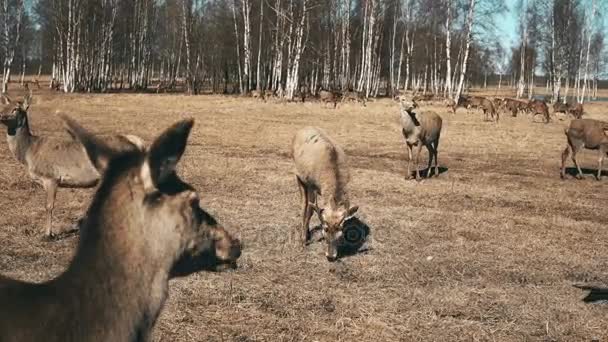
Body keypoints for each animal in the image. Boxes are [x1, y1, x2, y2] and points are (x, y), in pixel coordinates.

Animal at [0, 93, 145, 238]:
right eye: (3, 106)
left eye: (16, 109)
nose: (2, 116)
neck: (29, 152)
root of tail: (138, 143)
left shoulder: (51, 177)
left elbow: (49, 206)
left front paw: (47, 234)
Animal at [292, 126, 358, 262]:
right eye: (325, 229)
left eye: (341, 230)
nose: (331, 256)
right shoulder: (311, 184)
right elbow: (310, 211)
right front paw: (304, 240)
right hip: (298, 175)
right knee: (303, 204)